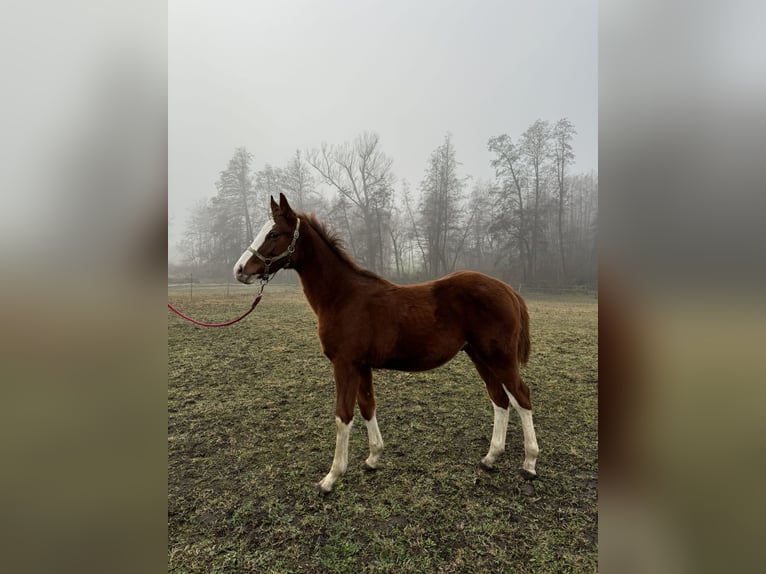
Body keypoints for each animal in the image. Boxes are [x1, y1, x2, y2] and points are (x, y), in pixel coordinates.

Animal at [234, 194, 540, 496]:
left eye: (274, 234)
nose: (239, 270)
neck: (343, 297)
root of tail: (509, 290)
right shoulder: (361, 365)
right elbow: (367, 406)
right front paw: (373, 458)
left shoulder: (344, 364)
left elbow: (343, 415)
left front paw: (331, 478)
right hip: (479, 355)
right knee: (500, 399)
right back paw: (490, 458)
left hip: (500, 357)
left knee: (521, 396)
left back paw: (529, 463)